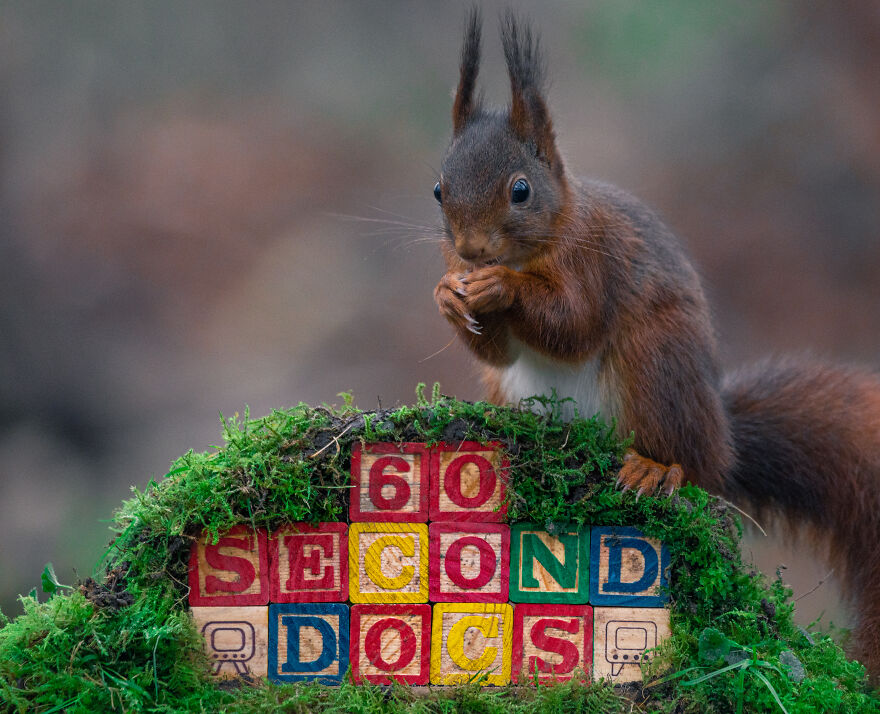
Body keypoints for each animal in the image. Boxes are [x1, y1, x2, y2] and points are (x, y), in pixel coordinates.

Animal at [432, 9, 880, 678]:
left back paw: (655, 468)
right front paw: (447, 294)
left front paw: (501, 288)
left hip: (657, 362)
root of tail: (724, 441)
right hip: (519, 390)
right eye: (438, 190)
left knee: (686, 458)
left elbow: (573, 324)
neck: (548, 235)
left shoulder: (593, 264)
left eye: (521, 191)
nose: (471, 251)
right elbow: (499, 350)